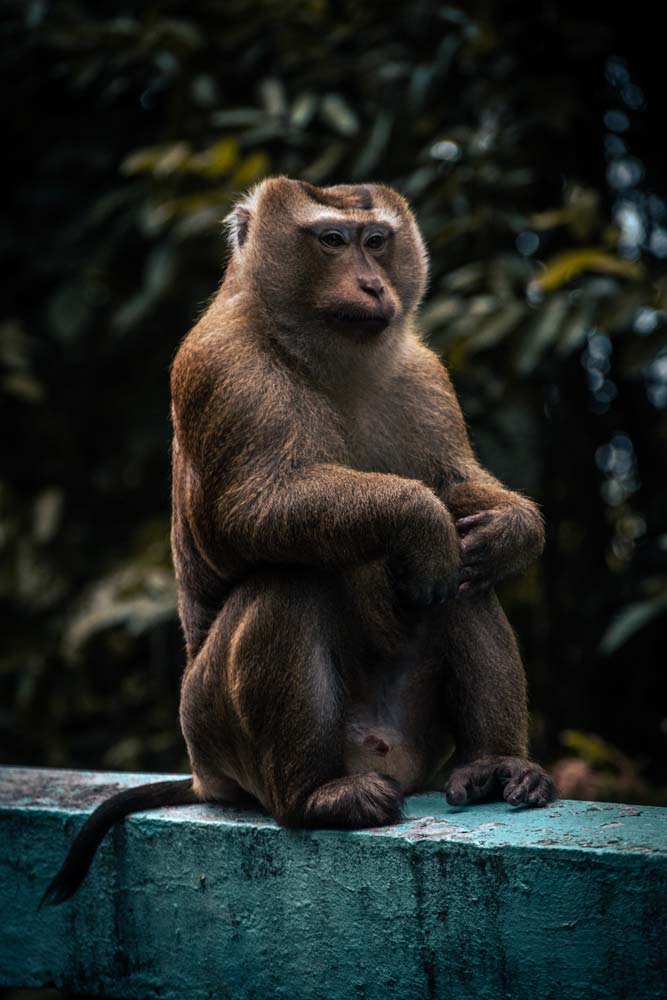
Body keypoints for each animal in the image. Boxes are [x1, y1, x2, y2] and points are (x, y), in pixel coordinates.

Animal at [40, 178, 552, 908]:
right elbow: (253, 510)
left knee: (462, 586)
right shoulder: (225, 365)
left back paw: (496, 766)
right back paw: (314, 796)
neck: (321, 355)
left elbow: (461, 487)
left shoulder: (423, 374)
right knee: (290, 578)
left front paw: (509, 531)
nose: (372, 285)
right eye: (331, 240)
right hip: (210, 727)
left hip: (412, 734)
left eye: (377, 241)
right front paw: (419, 519)